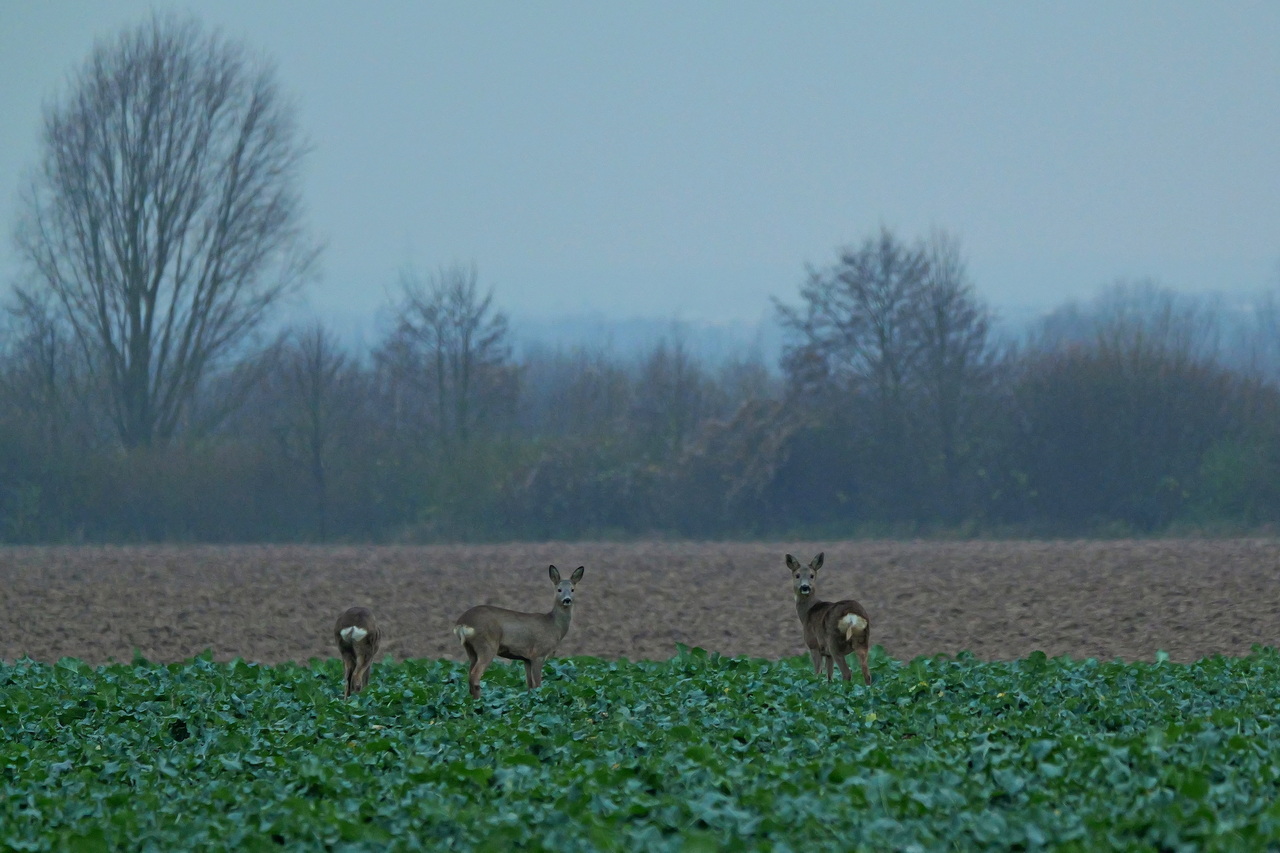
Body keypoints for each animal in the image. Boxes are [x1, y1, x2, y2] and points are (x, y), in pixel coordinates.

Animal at [455, 560, 586, 696]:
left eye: (572, 589)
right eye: (559, 589)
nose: (567, 600)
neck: (554, 626)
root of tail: (462, 623)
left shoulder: (526, 658)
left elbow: (530, 685)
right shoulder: (538, 653)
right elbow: (538, 685)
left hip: (470, 649)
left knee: (469, 675)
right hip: (487, 645)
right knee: (475, 675)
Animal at [783, 550, 875, 686]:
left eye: (812, 575)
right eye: (797, 575)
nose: (805, 587)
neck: (808, 612)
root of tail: (852, 616)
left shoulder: (814, 645)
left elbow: (818, 673)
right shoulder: (827, 654)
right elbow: (829, 676)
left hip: (834, 643)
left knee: (847, 673)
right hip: (862, 641)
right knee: (867, 674)